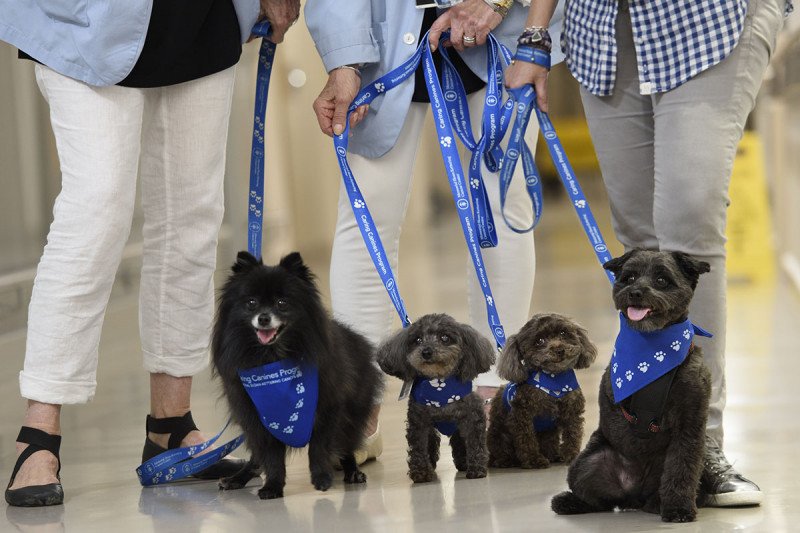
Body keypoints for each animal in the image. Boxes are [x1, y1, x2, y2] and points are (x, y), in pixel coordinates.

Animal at [211, 251, 382, 496]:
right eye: (251, 303)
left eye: (282, 303)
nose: (264, 318)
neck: (274, 357)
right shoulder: (259, 418)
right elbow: (271, 457)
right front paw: (273, 485)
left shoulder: (328, 409)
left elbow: (318, 449)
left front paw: (321, 478)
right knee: (256, 458)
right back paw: (237, 478)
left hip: (352, 413)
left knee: (346, 444)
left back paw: (353, 471)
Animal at [376, 312, 494, 482]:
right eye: (418, 339)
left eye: (445, 337)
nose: (426, 352)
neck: (440, 388)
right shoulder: (419, 422)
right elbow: (419, 447)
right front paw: (421, 473)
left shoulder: (472, 418)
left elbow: (475, 443)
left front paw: (477, 469)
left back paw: (463, 463)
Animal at [488, 314, 592, 468]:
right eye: (539, 341)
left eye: (563, 333)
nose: (559, 350)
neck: (554, 380)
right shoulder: (522, 416)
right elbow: (527, 439)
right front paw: (534, 459)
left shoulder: (572, 411)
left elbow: (572, 435)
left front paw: (571, 455)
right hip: (499, 435)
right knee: (501, 451)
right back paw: (504, 461)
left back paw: (554, 455)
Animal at [552, 248, 712, 520]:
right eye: (629, 278)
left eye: (661, 280)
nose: (635, 292)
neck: (653, 344)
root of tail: (634, 495)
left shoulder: (689, 423)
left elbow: (682, 468)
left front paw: (678, 508)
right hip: (587, 463)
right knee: (599, 500)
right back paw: (569, 502)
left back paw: (658, 502)